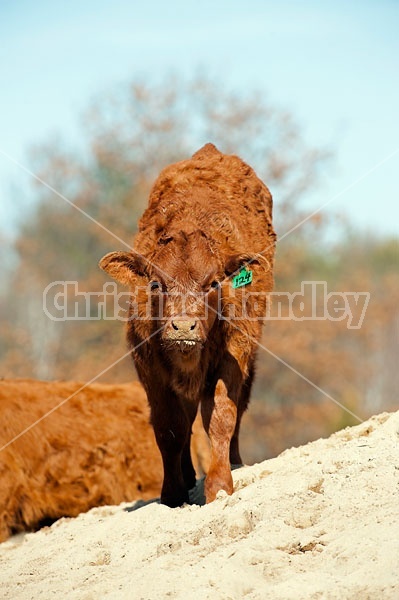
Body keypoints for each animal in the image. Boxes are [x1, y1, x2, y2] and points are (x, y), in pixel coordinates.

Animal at [100, 144, 276, 506]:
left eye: (213, 283)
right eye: (156, 283)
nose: (182, 328)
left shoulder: (232, 357)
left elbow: (221, 416)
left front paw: (220, 484)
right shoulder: (150, 368)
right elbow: (169, 428)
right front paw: (173, 492)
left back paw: (234, 461)